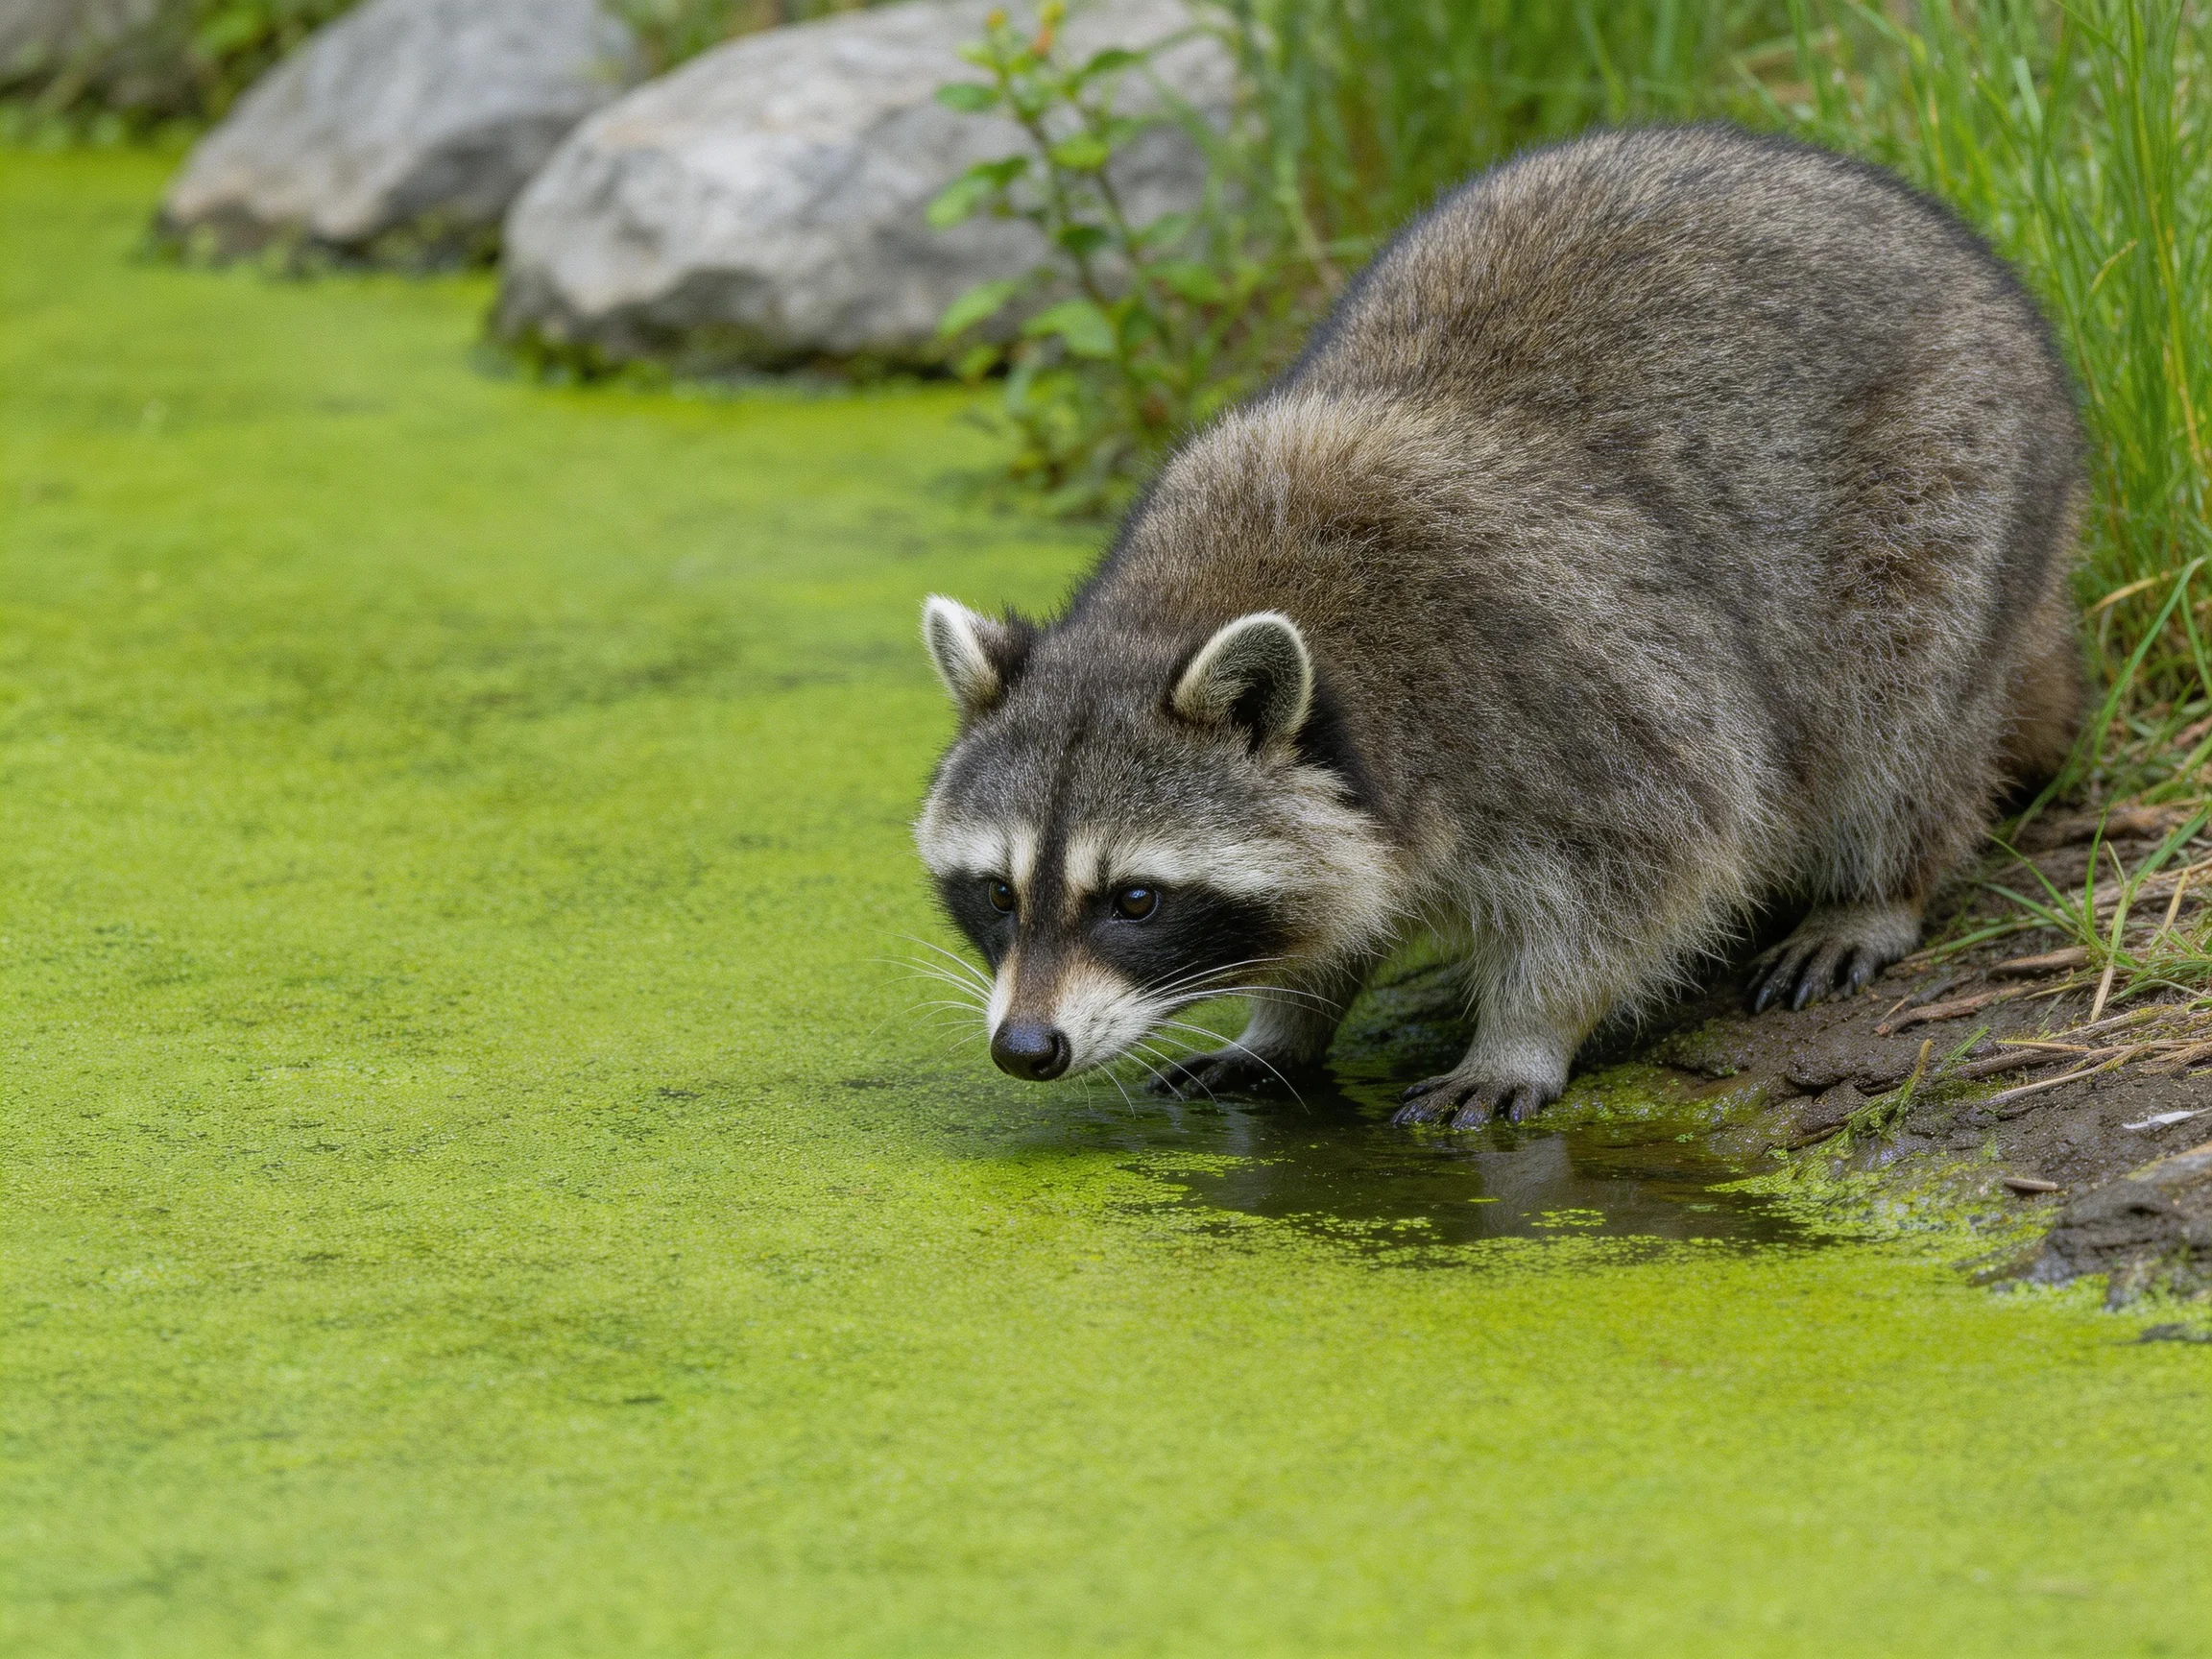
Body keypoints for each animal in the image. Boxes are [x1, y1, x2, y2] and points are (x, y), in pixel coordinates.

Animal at [913, 124, 2083, 1127]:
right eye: (998, 892)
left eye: (1137, 900)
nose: (1027, 1047)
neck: (1187, 600)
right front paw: (1289, 1017)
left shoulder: (1568, 691)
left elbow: (1646, 870)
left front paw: (1523, 1032)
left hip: (1949, 486)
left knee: (1898, 715)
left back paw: (1877, 885)